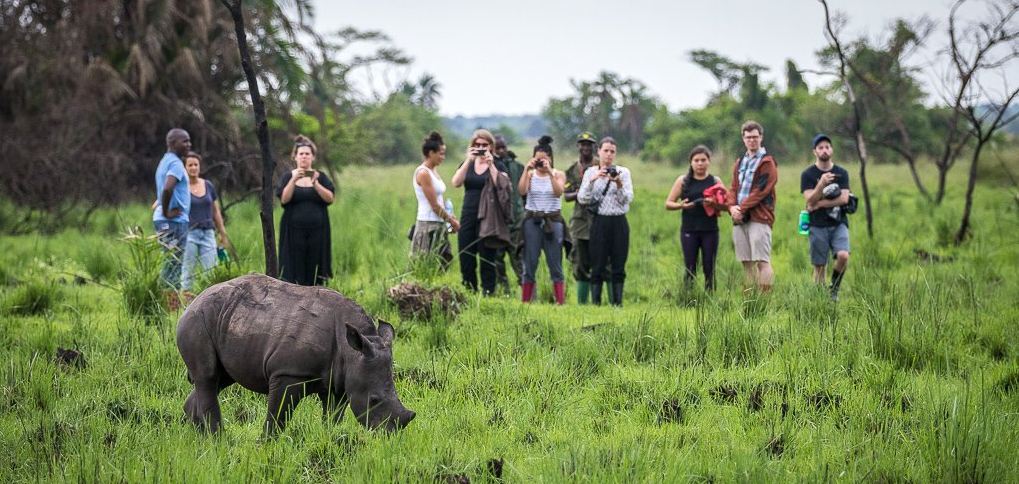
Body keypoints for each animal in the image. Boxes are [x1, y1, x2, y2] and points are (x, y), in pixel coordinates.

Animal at [175, 277, 413, 436]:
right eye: (374, 400)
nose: (390, 435)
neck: (351, 352)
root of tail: (193, 301)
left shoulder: (339, 381)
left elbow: (333, 416)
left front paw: (329, 438)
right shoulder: (288, 374)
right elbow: (278, 416)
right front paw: (266, 445)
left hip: (223, 320)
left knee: (218, 379)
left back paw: (200, 436)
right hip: (197, 321)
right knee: (208, 376)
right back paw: (218, 440)